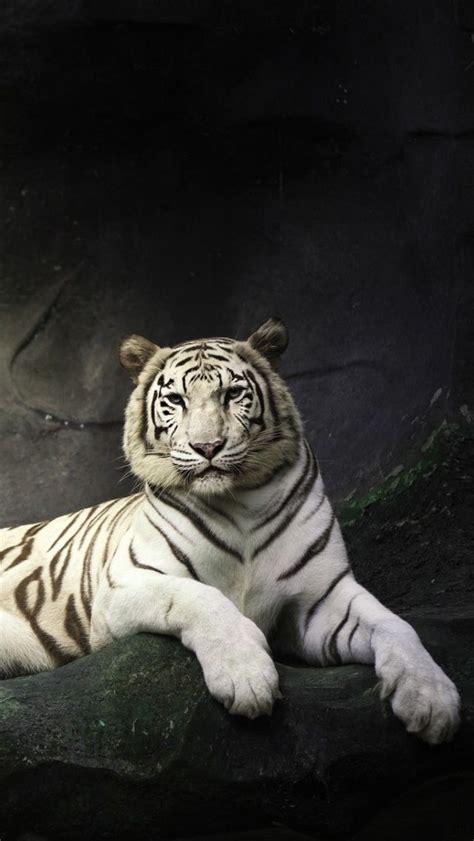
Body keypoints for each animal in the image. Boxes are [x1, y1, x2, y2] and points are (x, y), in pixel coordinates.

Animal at [0, 316, 460, 740]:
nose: (207, 447)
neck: (241, 504)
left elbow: (396, 625)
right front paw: (246, 678)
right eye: (176, 400)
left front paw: (432, 699)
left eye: (232, 394)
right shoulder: (123, 587)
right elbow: (200, 598)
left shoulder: (321, 599)